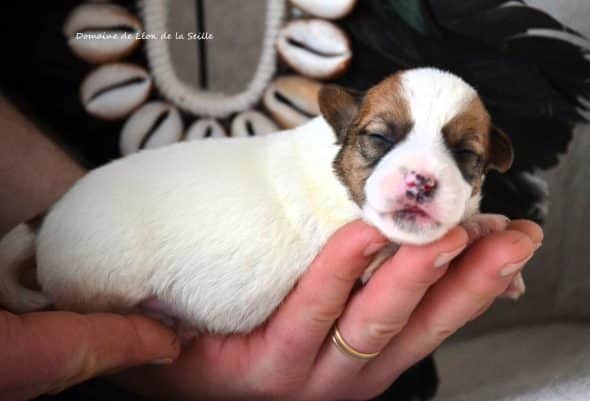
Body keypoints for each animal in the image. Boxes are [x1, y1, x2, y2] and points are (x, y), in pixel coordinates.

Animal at [0, 68, 516, 332]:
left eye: (466, 154)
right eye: (379, 138)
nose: (421, 182)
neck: (337, 174)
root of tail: (48, 218)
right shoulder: (366, 257)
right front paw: (483, 228)